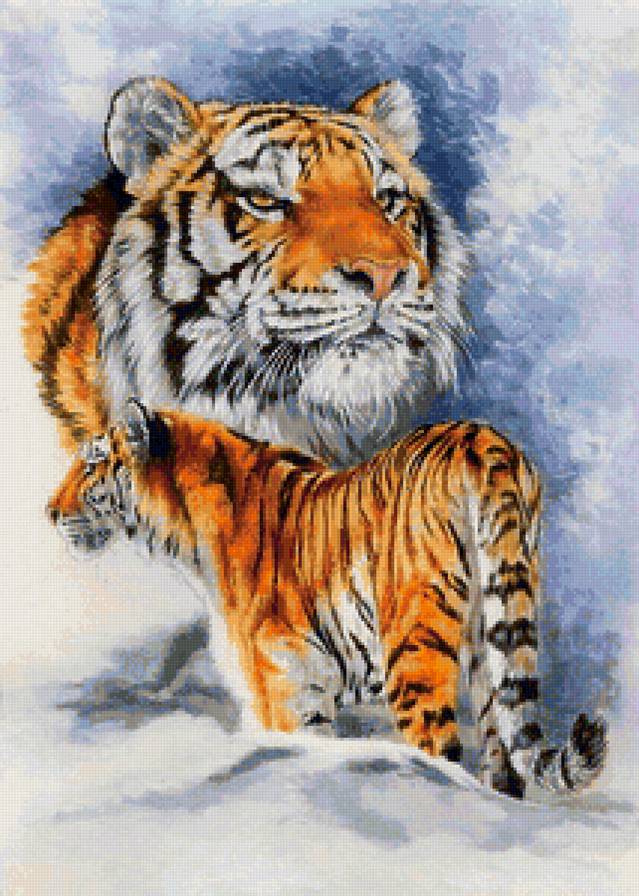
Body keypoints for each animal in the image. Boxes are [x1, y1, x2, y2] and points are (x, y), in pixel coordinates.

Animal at [46, 399, 606, 799]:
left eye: (93, 465)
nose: (50, 512)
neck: (187, 542)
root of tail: (486, 440)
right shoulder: (301, 695)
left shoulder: (285, 697)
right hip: (494, 642)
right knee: (504, 762)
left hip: (413, 655)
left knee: (441, 756)